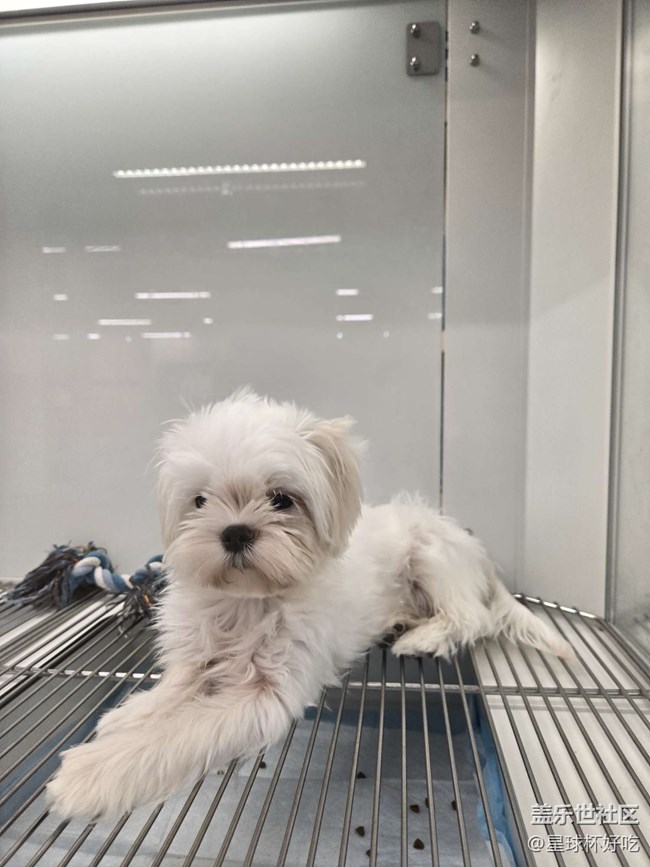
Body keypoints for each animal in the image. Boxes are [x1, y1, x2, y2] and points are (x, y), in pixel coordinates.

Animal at [48, 389, 571, 818]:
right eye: (199, 500)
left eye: (281, 499)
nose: (234, 532)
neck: (248, 601)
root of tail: (474, 550)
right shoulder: (199, 653)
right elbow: (176, 689)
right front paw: (128, 715)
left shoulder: (268, 695)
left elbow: (181, 731)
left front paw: (88, 774)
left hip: (432, 558)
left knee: (470, 616)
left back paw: (420, 638)